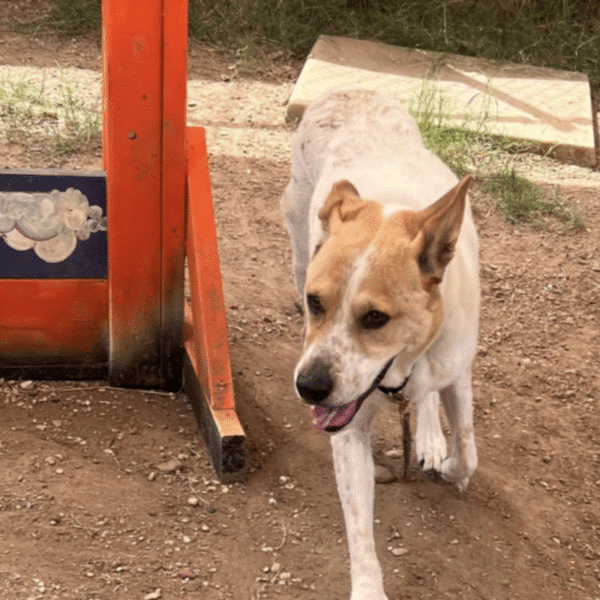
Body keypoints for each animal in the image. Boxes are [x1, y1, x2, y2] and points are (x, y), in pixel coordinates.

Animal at [282, 90, 482, 600]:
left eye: (376, 318)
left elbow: (467, 449)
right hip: (297, 239)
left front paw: (446, 461)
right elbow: (359, 532)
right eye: (315, 302)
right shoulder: (348, 426)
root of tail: (352, 91)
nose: (309, 388)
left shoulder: (454, 371)